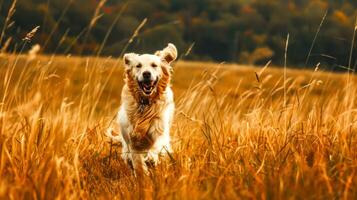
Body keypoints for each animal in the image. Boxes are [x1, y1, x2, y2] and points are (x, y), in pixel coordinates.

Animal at [106, 43, 177, 175]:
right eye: (138, 66)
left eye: (154, 65)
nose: (146, 74)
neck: (145, 103)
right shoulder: (133, 140)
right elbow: (138, 163)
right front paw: (142, 175)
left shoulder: (159, 128)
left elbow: (156, 144)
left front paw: (151, 158)